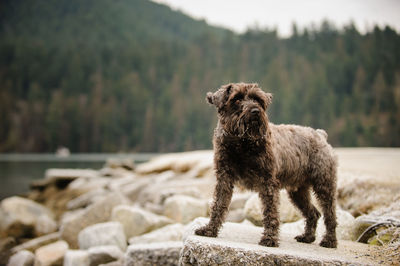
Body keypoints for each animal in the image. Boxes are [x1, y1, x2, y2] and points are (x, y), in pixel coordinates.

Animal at [194, 82, 338, 247]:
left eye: (258, 99)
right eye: (237, 99)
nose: (255, 111)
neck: (241, 143)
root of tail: (320, 135)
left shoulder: (267, 182)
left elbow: (270, 212)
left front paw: (269, 238)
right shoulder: (224, 178)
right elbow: (218, 205)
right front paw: (209, 230)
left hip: (324, 186)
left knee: (330, 215)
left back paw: (329, 240)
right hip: (298, 192)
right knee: (313, 213)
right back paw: (307, 237)